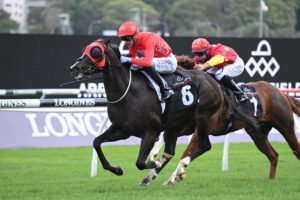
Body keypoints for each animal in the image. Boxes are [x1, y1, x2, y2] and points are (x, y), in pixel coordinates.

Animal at [69, 38, 258, 185]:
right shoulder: (122, 129)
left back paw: (178, 167)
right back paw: (152, 177)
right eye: (85, 49)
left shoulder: (150, 131)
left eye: (95, 51)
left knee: (204, 145)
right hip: (174, 127)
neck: (129, 91)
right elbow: (96, 142)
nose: (75, 67)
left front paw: (153, 163)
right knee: (171, 151)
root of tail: (214, 83)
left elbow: (140, 162)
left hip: (203, 118)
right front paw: (116, 169)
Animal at [162, 54, 300, 184]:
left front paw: (175, 176)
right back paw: (271, 180)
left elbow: (186, 152)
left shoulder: (202, 128)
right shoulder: (185, 127)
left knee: (296, 150)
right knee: (273, 156)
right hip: (258, 134)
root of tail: (281, 93)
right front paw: (173, 175)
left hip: (286, 127)